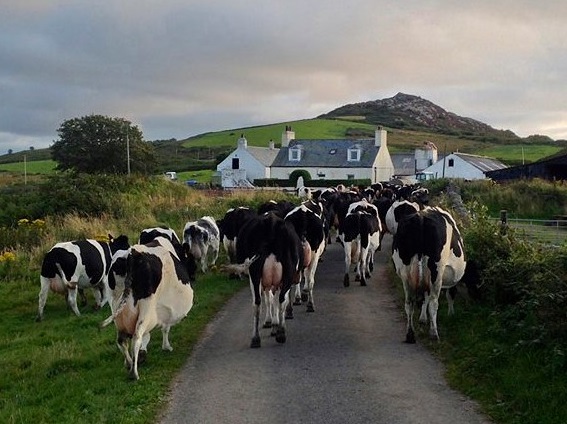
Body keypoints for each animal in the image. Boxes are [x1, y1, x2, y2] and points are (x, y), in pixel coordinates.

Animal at [101, 242, 197, 380]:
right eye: (190, 259)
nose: (193, 275)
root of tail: (132, 253)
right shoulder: (163, 312)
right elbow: (165, 329)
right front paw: (166, 347)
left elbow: (147, 336)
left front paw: (142, 354)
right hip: (147, 306)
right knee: (137, 337)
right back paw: (134, 373)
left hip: (116, 307)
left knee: (121, 340)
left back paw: (129, 363)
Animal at [236, 212, 306, 348]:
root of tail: (271, 221)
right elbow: (275, 301)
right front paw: (275, 325)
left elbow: (269, 300)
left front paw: (271, 323)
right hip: (288, 271)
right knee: (281, 300)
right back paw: (281, 334)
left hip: (255, 273)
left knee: (257, 303)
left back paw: (256, 338)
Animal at [392, 207, 468, 342]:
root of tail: (421, 218)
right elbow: (449, 294)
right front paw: (451, 314)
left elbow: (424, 298)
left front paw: (423, 319)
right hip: (436, 271)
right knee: (433, 303)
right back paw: (434, 333)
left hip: (405, 273)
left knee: (409, 302)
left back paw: (410, 334)